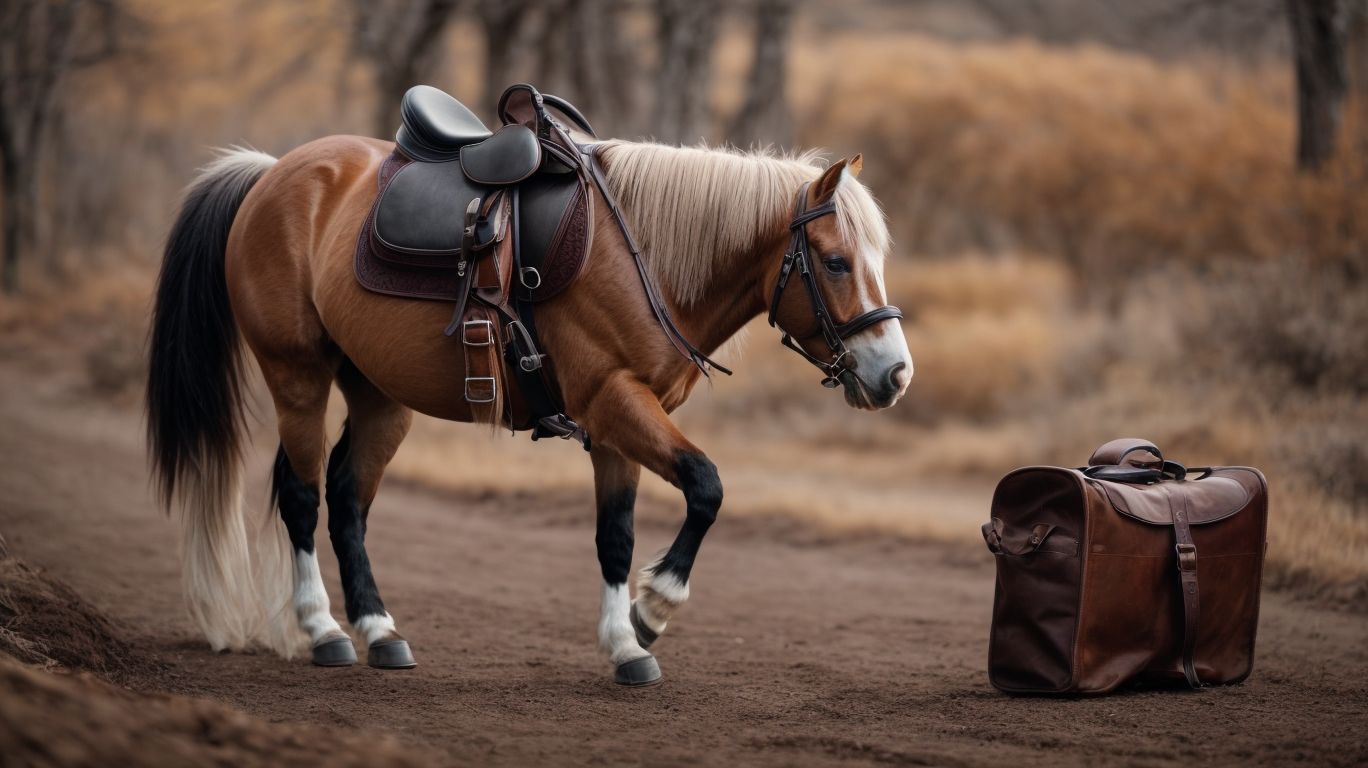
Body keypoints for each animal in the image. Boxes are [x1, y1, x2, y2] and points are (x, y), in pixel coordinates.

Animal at [146, 132, 913, 685]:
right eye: (836, 261)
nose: (896, 373)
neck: (645, 256)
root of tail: (273, 172)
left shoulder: (618, 426)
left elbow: (616, 537)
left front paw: (625, 643)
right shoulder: (615, 404)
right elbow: (706, 486)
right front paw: (653, 608)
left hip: (379, 398)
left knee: (346, 501)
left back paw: (378, 630)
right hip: (297, 377)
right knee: (304, 498)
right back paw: (324, 630)